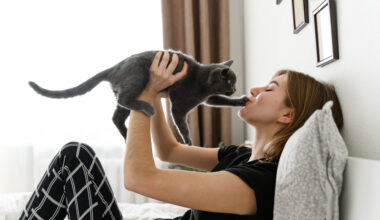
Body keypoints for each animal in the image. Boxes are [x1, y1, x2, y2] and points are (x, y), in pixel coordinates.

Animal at [30, 50, 249, 146]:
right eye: (230, 82)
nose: (235, 88)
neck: (201, 81)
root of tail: (114, 68)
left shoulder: (209, 99)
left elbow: (223, 102)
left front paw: (241, 100)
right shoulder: (179, 105)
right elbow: (182, 124)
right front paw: (188, 142)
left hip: (127, 90)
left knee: (116, 116)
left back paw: (127, 135)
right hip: (138, 78)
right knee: (123, 101)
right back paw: (147, 108)